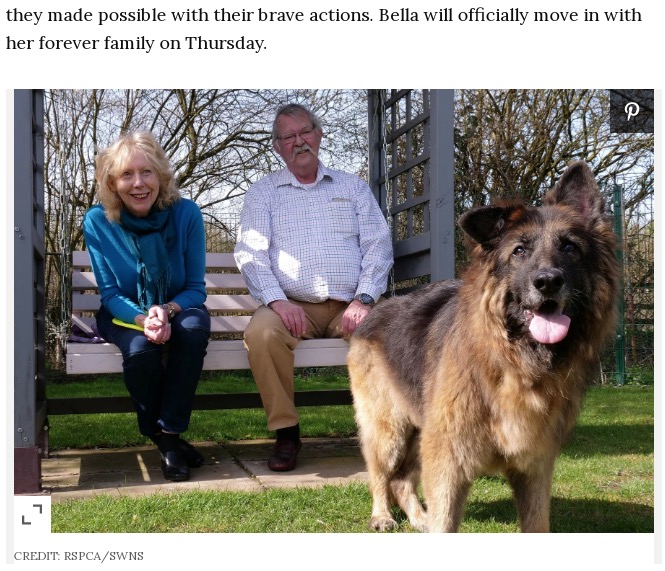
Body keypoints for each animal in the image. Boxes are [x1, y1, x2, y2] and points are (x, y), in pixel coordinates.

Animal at [348, 160, 616, 532]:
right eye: (519, 251)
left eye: (570, 247)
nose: (548, 282)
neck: (514, 362)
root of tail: (377, 308)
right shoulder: (447, 460)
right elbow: (444, 523)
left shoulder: (534, 466)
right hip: (390, 430)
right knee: (379, 474)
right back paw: (382, 515)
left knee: (401, 481)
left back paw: (419, 518)